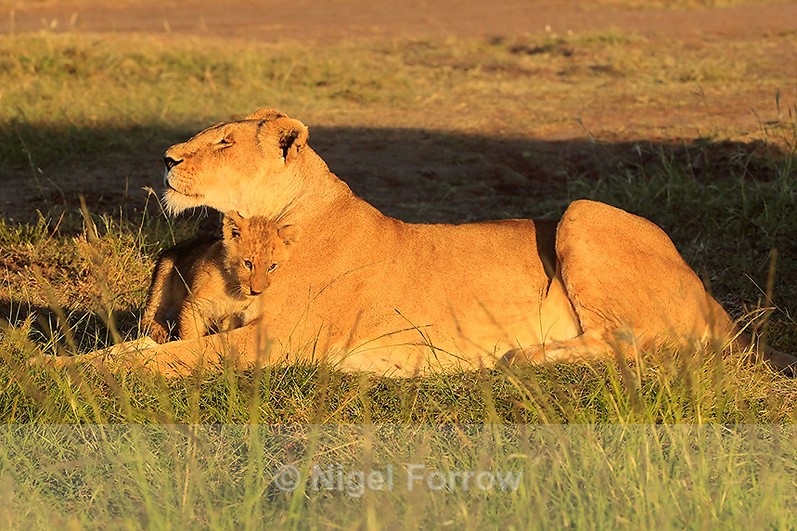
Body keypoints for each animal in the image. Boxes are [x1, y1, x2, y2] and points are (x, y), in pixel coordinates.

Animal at [141, 212, 300, 342]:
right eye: (248, 264)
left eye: (272, 267)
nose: (256, 292)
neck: (232, 289)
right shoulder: (194, 305)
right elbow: (190, 336)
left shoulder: (232, 316)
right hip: (164, 269)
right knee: (150, 313)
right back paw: (158, 333)